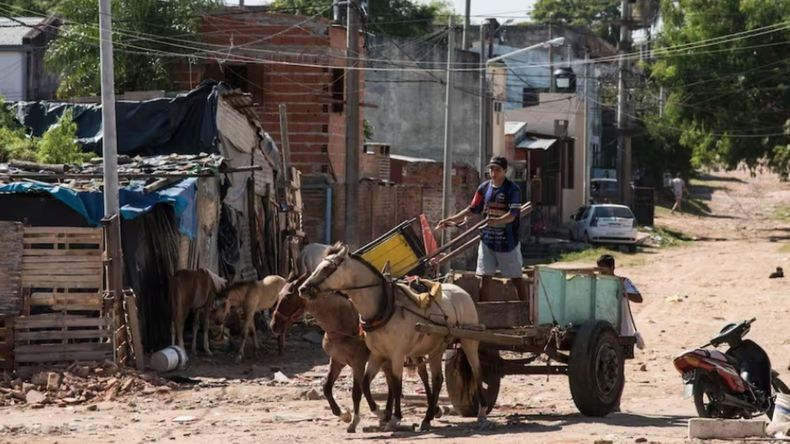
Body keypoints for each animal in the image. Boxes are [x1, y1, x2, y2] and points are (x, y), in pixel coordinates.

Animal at [300, 243, 488, 430]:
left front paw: (395, 417)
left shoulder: (395, 355)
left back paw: (481, 412)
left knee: (476, 372)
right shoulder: (377, 355)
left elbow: (396, 384)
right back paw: (427, 418)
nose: (303, 289)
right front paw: (381, 413)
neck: (384, 307)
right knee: (437, 379)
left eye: (327, 268)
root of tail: (461, 291)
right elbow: (365, 384)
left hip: (469, 341)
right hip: (435, 348)